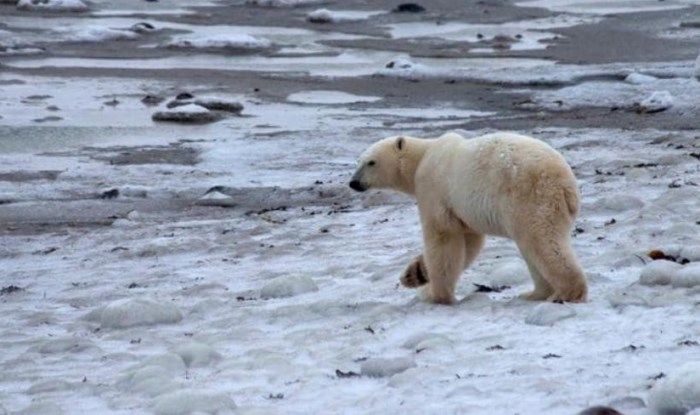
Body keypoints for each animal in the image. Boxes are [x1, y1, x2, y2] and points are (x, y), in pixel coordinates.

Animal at [349, 131, 587, 305]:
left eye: (371, 162)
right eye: (358, 161)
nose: (353, 182)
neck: (424, 155)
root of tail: (566, 183)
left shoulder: (434, 189)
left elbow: (443, 238)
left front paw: (436, 295)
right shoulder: (463, 209)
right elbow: (468, 242)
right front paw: (415, 274)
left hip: (529, 198)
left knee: (541, 240)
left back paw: (566, 292)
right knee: (532, 247)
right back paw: (534, 293)